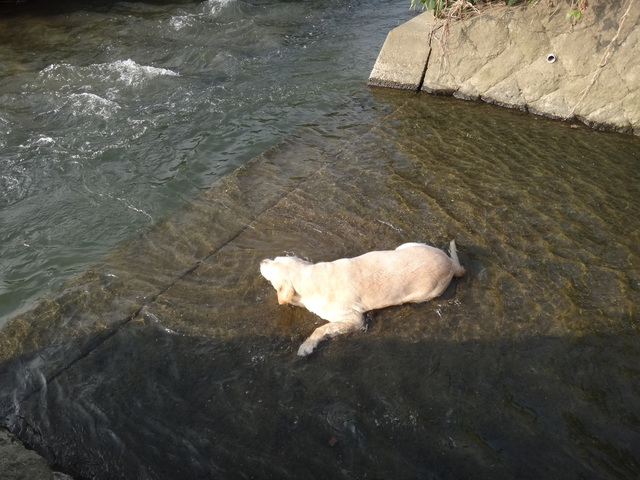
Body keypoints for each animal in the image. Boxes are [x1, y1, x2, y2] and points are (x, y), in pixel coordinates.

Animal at [260, 240, 464, 356]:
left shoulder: (354, 319)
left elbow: (321, 329)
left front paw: (306, 346)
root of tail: (451, 263)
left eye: (270, 268)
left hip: (424, 293)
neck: (311, 278)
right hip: (407, 245)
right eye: (274, 259)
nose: (262, 261)